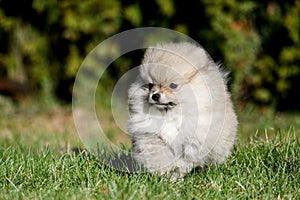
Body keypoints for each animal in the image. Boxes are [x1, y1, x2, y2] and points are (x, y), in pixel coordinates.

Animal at [127, 42, 238, 180]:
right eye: (150, 85)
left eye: (173, 85)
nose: (155, 96)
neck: (170, 115)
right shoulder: (151, 136)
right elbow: (159, 155)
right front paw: (166, 174)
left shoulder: (193, 140)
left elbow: (185, 159)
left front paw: (176, 172)